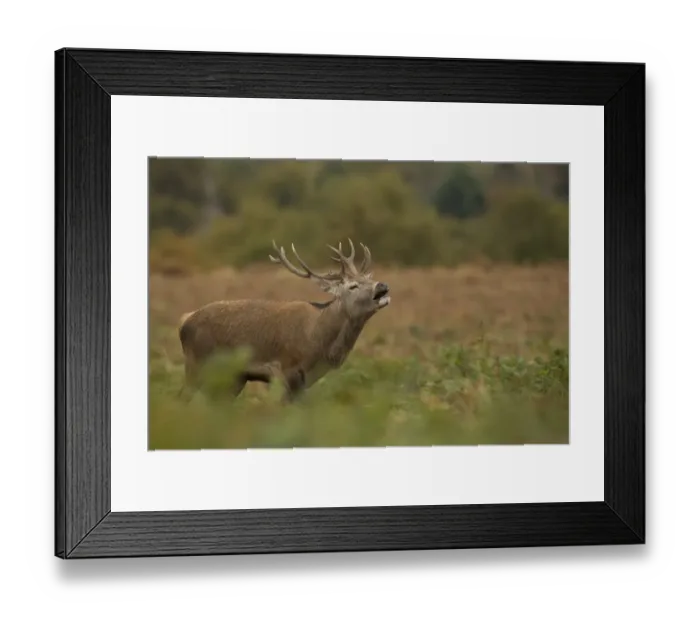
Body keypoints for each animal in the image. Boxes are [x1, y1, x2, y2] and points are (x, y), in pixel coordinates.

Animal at [177, 239, 391, 402]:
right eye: (353, 286)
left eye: (370, 279)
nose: (383, 286)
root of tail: (184, 323)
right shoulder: (286, 369)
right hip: (196, 363)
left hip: (233, 377)